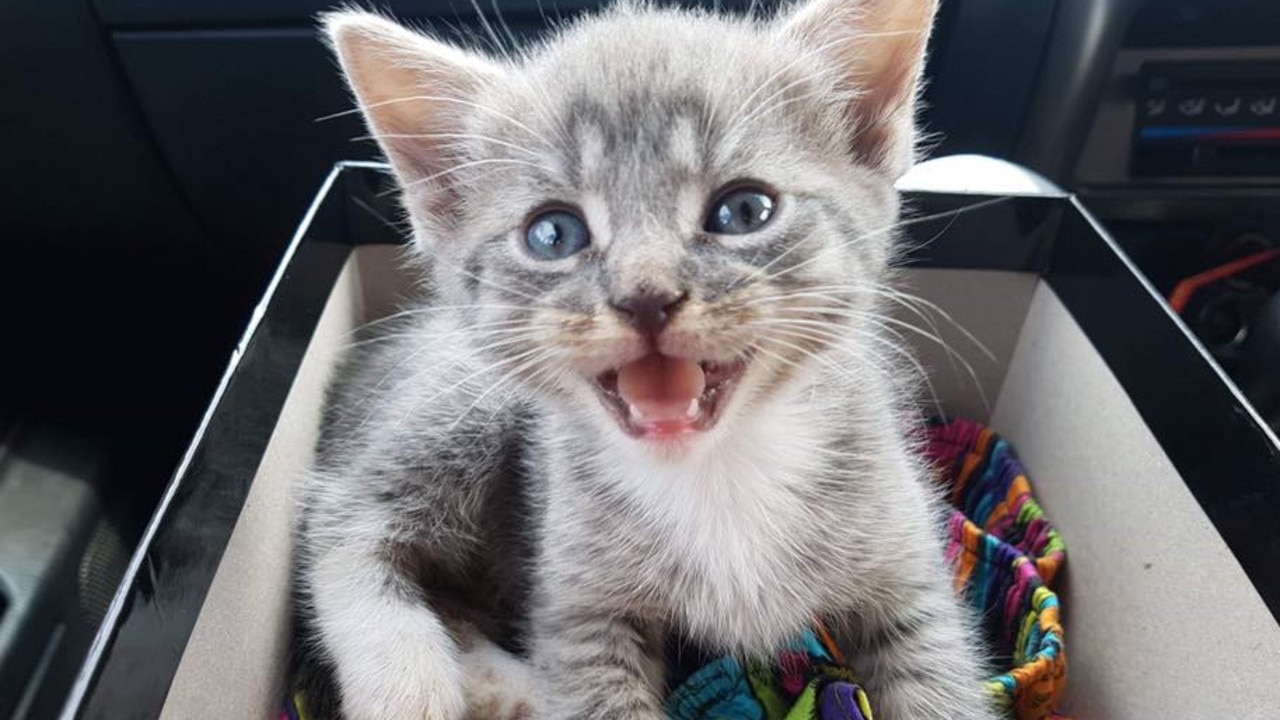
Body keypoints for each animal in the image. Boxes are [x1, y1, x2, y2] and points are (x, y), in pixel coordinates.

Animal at [294, 0, 993, 712]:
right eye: (553, 234)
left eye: (744, 209)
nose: (646, 297)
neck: (714, 473)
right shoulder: (579, 608)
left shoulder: (905, 566)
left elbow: (937, 677)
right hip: (462, 401)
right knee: (343, 522)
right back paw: (412, 679)